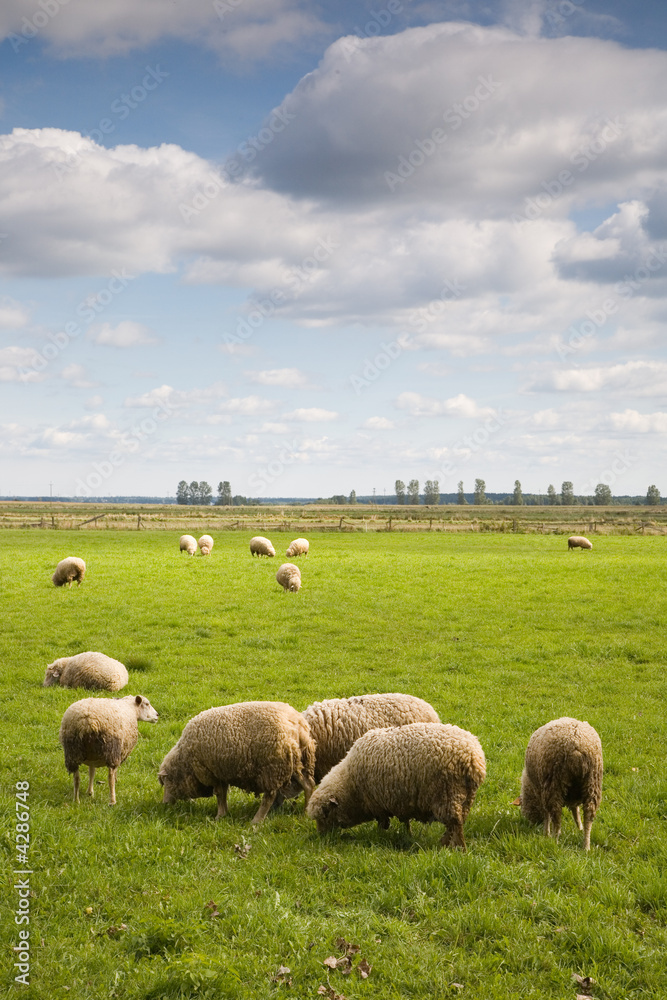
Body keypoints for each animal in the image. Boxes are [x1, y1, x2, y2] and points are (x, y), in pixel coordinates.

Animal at [158, 701, 316, 824]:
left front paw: (220, 815)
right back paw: (306, 812)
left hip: (272, 768)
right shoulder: (221, 772)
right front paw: (224, 813)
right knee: (308, 785)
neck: (185, 760)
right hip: (299, 763)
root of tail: (297, 724)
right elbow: (223, 794)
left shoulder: (210, 772)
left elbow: (219, 794)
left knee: (269, 797)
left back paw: (257, 820)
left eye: (166, 782)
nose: (164, 804)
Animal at [306, 722, 486, 849]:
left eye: (325, 815)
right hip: (465, 797)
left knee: (455, 824)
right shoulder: (401, 799)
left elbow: (382, 824)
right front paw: (408, 834)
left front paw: (378, 837)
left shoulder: (376, 802)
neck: (350, 783)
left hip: (447, 793)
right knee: (456, 824)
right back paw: (447, 844)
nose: (322, 837)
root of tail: (473, 758)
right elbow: (405, 822)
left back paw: (458, 848)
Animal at [518, 717, 602, 850]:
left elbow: (546, 813)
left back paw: (554, 840)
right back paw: (586, 845)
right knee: (589, 816)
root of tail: (576, 745)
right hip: (593, 783)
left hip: (553, 784)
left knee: (556, 817)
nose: (532, 824)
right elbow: (575, 810)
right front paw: (579, 827)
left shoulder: (541, 791)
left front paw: (546, 833)